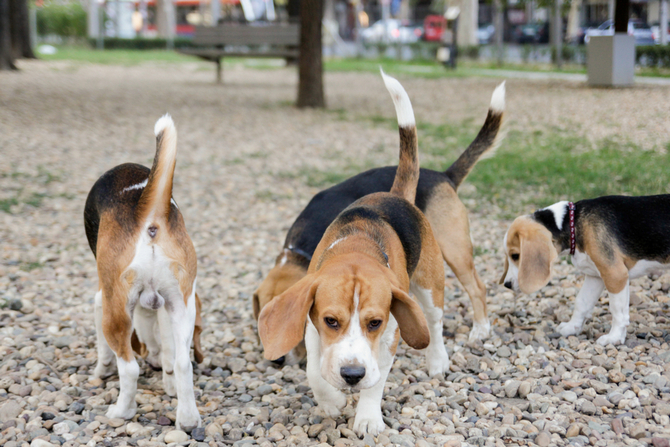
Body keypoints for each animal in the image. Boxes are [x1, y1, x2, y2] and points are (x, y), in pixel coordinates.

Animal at [83, 117, 202, 432]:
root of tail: (149, 216)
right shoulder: (163, 305)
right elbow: (170, 353)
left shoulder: (102, 299)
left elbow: (105, 352)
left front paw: (101, 371)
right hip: (183, 304)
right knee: (183, 364)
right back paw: (187, 420)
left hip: (115, 313)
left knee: (130, 369)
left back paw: (121, 411)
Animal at [255, 81, 506, 364]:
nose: (276, 361)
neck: (299, 248)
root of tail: (444, 175)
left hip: (454, 251)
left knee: (477, 288)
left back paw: (480, 330)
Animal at [260, 73, 454, 438]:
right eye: (331, 321)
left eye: (374, 322)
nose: (351, 375)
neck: (356, 250)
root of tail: (394, 194)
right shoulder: (311, 329)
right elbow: (314, 371)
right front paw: (331, 401)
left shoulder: (390, 333)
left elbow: (376, 381)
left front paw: (367, 417)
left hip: (430, 287)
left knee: (434, 326)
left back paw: (436, 362)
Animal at [502, 198, 670, 348]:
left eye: (515, 256)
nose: (507, 284)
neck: (573, 223)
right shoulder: (595, 276)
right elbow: (582, 302)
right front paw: (572, 327)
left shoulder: (615, 275)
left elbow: (617, 310)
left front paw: (614, 338)